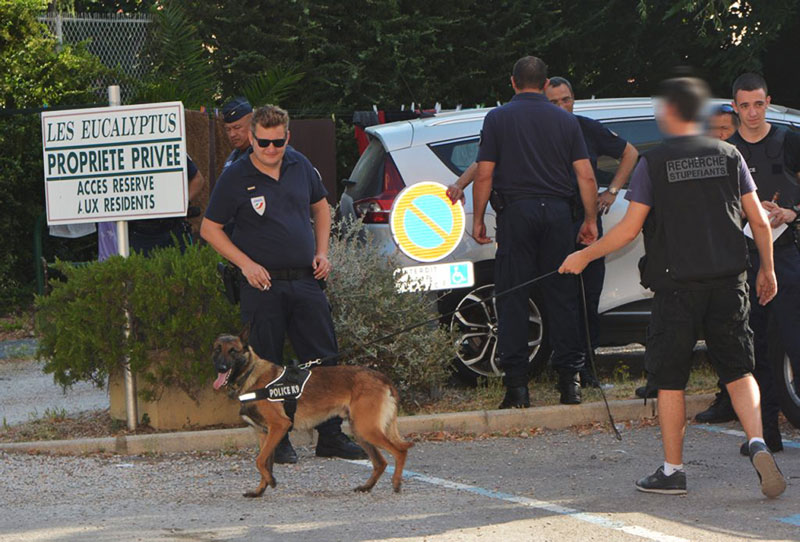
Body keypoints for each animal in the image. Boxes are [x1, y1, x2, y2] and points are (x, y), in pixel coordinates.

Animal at [212, 332, 412, 498]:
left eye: (233, 351)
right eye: (217, 349)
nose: (221, 367)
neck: (251, 374)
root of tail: (382, 377)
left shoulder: (279, 426)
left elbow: (259, 461)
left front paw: (270, 481)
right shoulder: (263, 434)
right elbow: (264, 463)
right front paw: (260, 489)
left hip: (366, 429)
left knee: (400, 451)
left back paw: (396, 482)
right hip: (360, 431)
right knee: (381, 462)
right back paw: (366, 487)